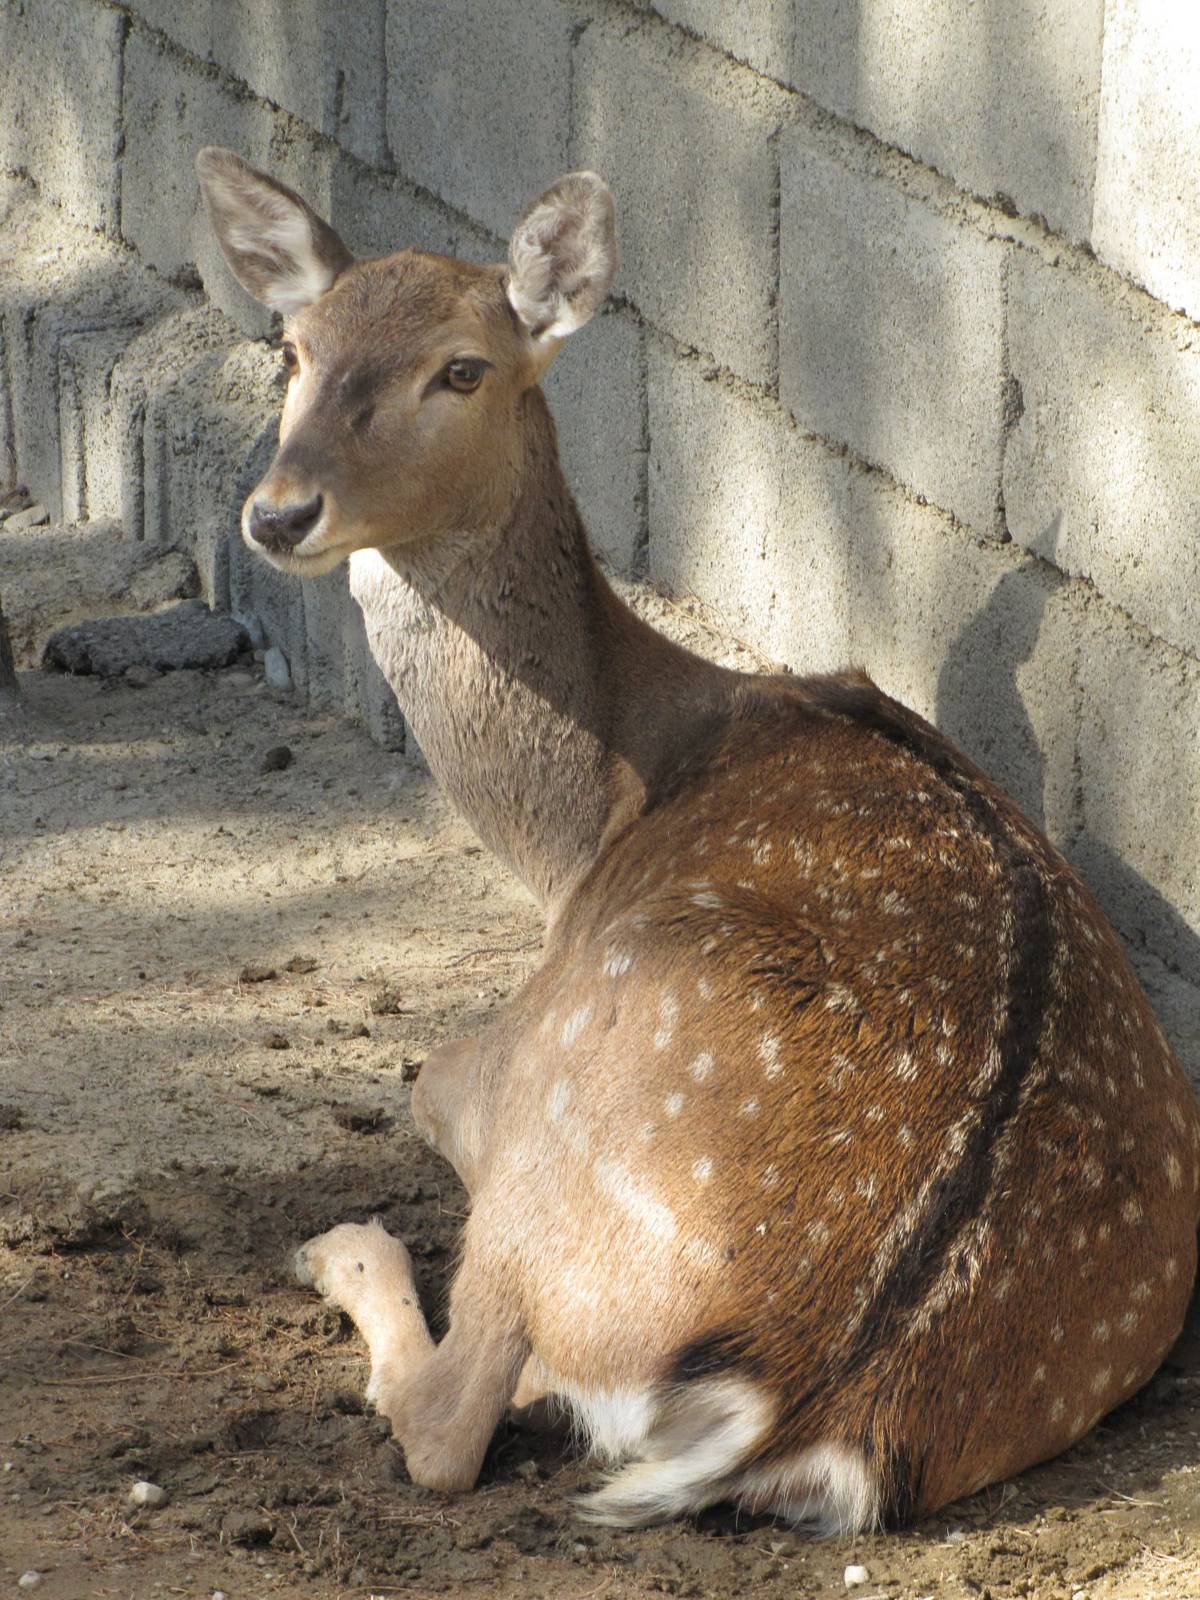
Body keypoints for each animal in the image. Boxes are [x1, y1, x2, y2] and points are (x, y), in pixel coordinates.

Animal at [195, 146, 1200, 1533]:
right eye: (296, 349)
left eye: (462, 369)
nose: (281, 513)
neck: (587, 825)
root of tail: (804, 1401)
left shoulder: (501, 1048)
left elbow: (423, 1076)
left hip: (563, 1119)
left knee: (452, 1417)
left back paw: (348, 1250)